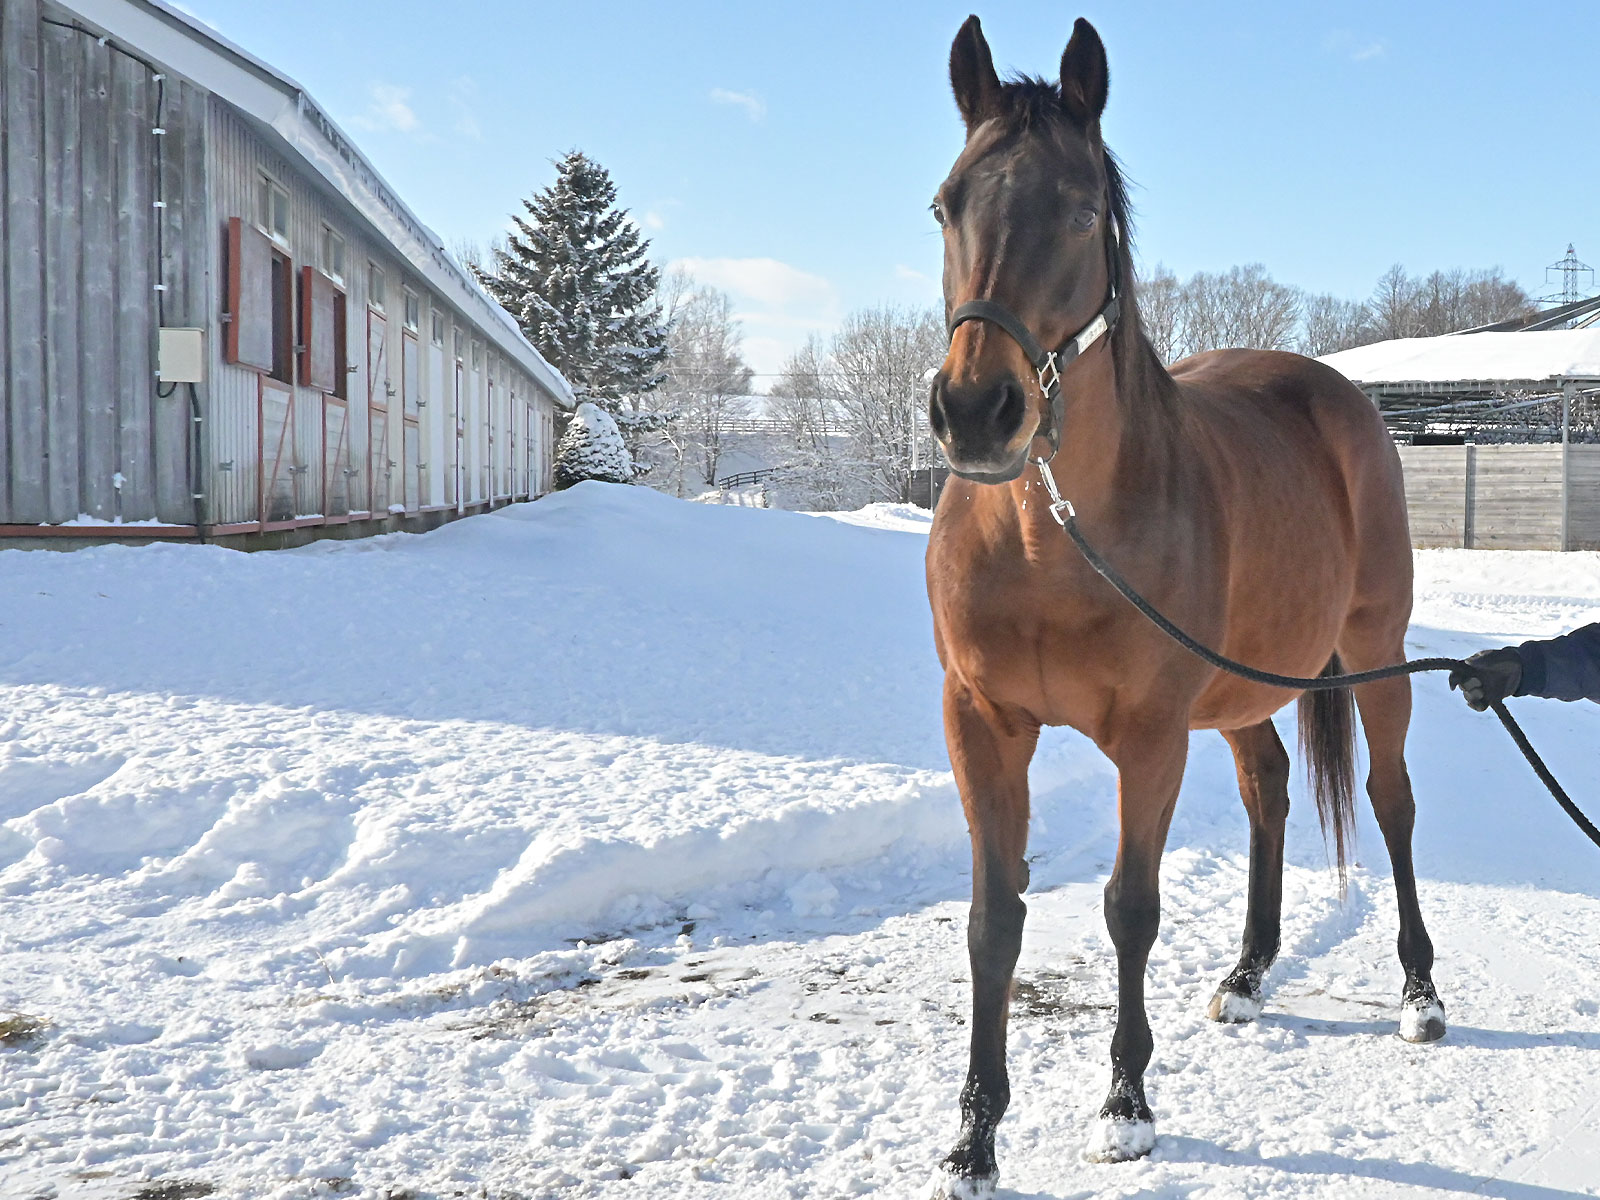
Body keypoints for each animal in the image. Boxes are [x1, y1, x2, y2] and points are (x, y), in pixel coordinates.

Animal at [924, 15, 1441, 1195]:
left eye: (1080, 209)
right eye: (946, 203)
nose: (977, 411)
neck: (1051, 537)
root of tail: (1333, 392)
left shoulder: (1151, 737)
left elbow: (1130, 907)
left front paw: (1124, 1105)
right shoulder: (982, 724)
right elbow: (992, 920)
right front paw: (975, 1138)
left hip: (1373, 653)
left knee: (1390, 805)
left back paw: (1420, 993)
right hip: (1246, 689)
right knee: (1270, 791)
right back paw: (1247, 975)